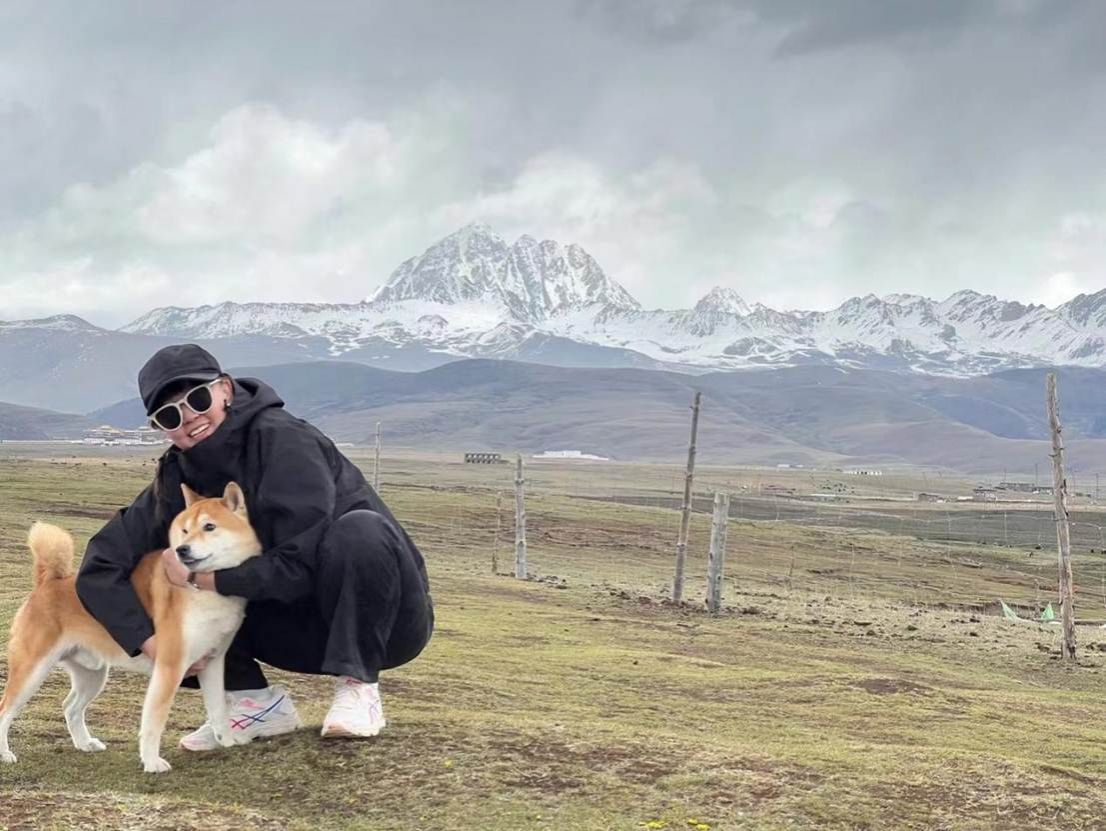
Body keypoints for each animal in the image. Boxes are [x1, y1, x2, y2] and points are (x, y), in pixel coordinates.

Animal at [0, 481, 261, 773]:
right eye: (184, 530)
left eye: (209, 527)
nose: (182, 550)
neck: (206, 591)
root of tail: (48, 583)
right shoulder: (169, 667)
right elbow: (154, 722)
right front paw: (152, 761)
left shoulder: (213, 663)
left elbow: (218, 710)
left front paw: (227, 741)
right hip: (33, 670)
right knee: (5, 709)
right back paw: (5, 753)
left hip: (92, 675)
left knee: (70, 707)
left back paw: (85, 743)